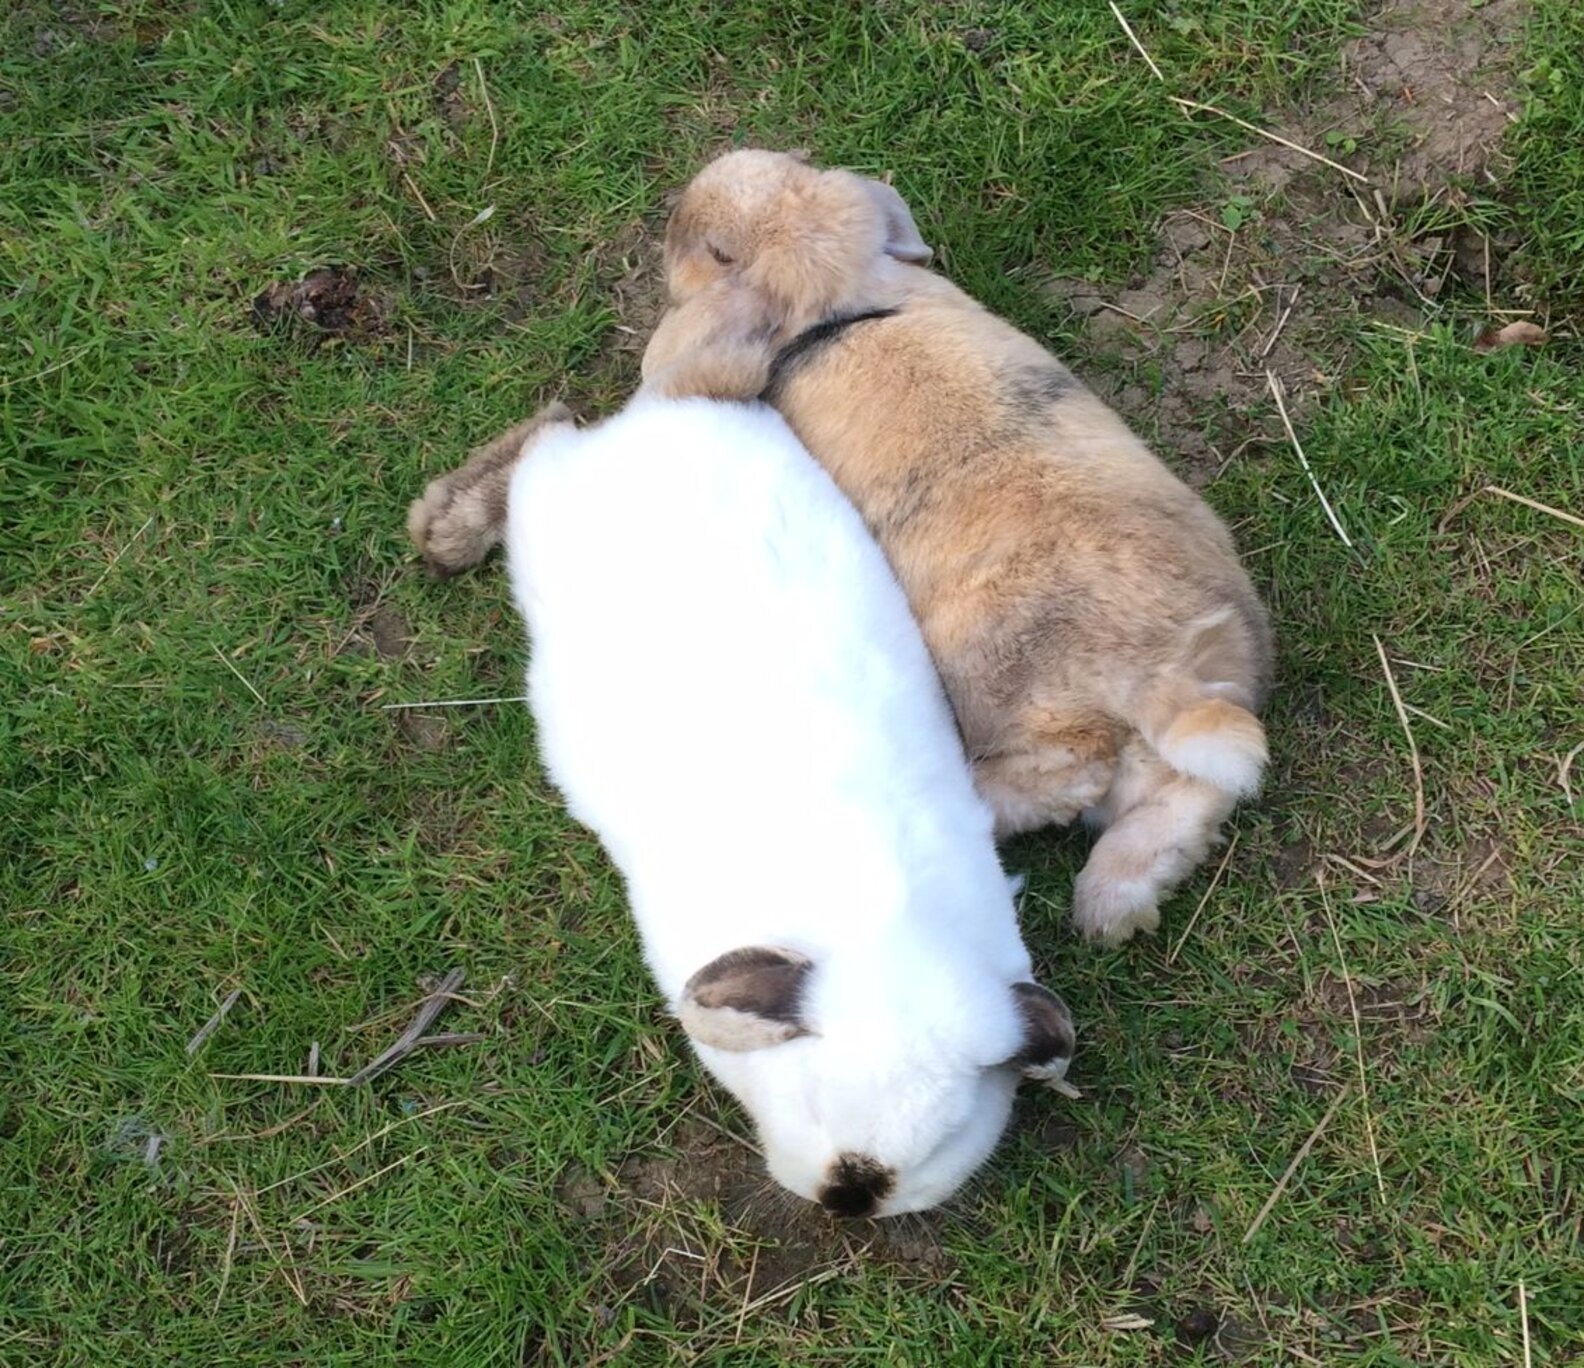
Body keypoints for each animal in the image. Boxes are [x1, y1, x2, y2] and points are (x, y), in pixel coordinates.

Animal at [407, 310, 1076, 1217]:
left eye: (943, 1138)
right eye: (814, 1103)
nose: (849, 1196)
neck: (884, 927)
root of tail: (687, 406)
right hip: (548, 500)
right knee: (544, 433)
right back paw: (443, 533)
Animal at [637, 147, 1275, 947]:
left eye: (716, 250)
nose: (670, 217)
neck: (838, 303)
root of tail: (1163, 682)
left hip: (1007, 696)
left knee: (1071, 770)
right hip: (1194, 737)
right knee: (1181, 801)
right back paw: (1109, 909)